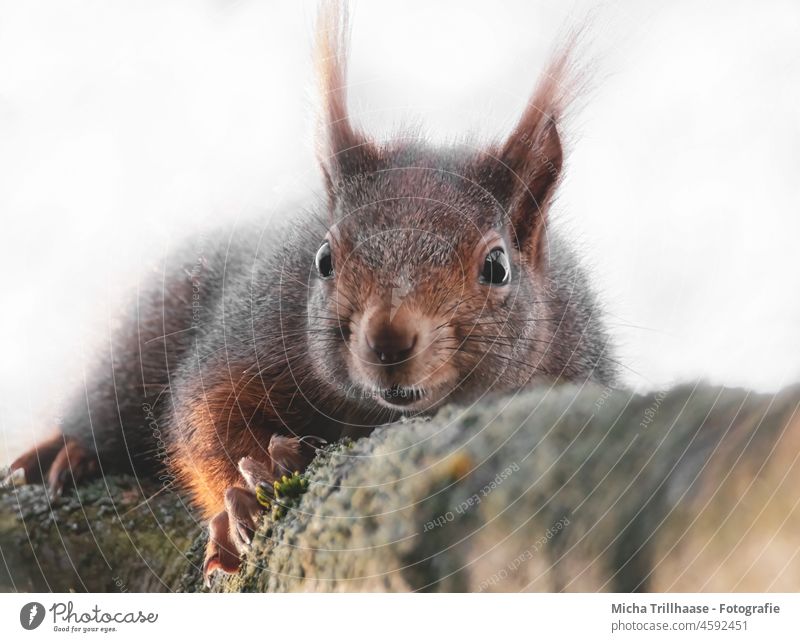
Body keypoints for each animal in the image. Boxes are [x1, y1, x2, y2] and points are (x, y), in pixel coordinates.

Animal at [4, 3, 612, 584]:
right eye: (323, 259)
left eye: (497, 266)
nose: (388, 341)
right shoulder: (251, 329)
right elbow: (205, 418)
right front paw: (246, 499)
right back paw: (69, 452)